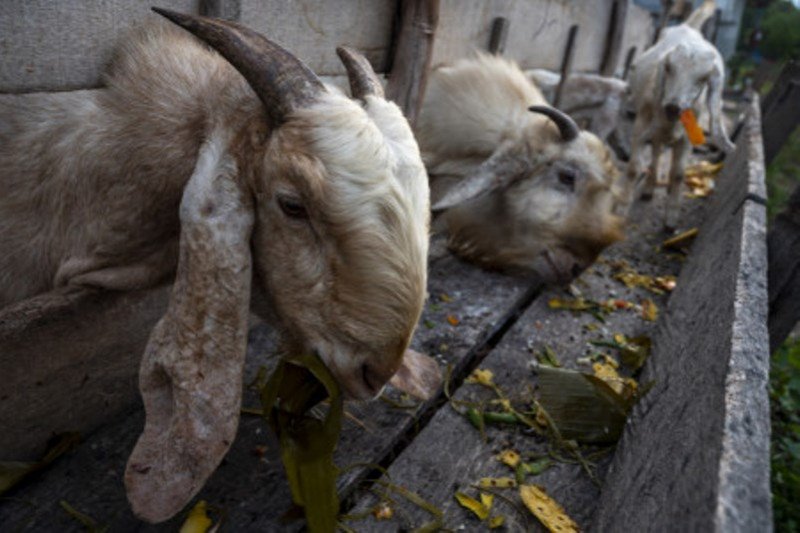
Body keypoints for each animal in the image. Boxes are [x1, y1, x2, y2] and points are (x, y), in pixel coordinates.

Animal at [628, 0, 736, 229]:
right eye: (668, 68)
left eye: (703, 79)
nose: (672, 107)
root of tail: (689, 26)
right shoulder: (643, 124)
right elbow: (634, 167)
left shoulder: (687, 139)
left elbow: (678, 174)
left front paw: (671, 220)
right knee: (656, 153)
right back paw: (649, 189)